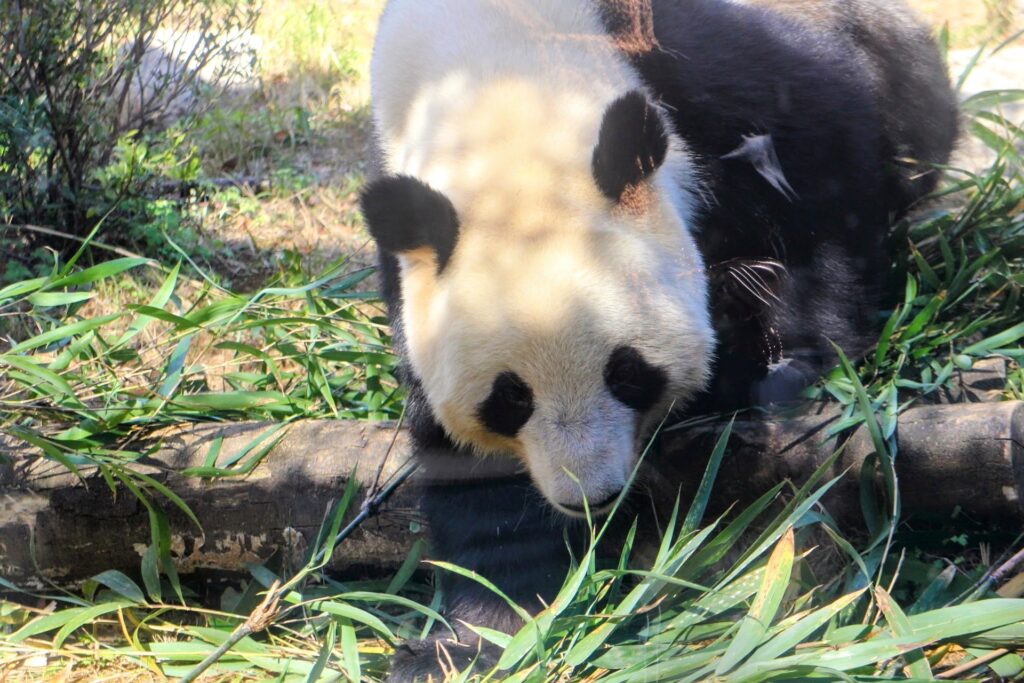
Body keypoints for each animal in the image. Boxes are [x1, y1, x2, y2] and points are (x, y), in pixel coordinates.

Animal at [360, 0, 958, 675]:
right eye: (510, 398)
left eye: (626, 371)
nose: (591, 496)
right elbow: (472, 479)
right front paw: (471, 639)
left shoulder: (713, 67)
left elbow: (825, 183)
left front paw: (778, 359)